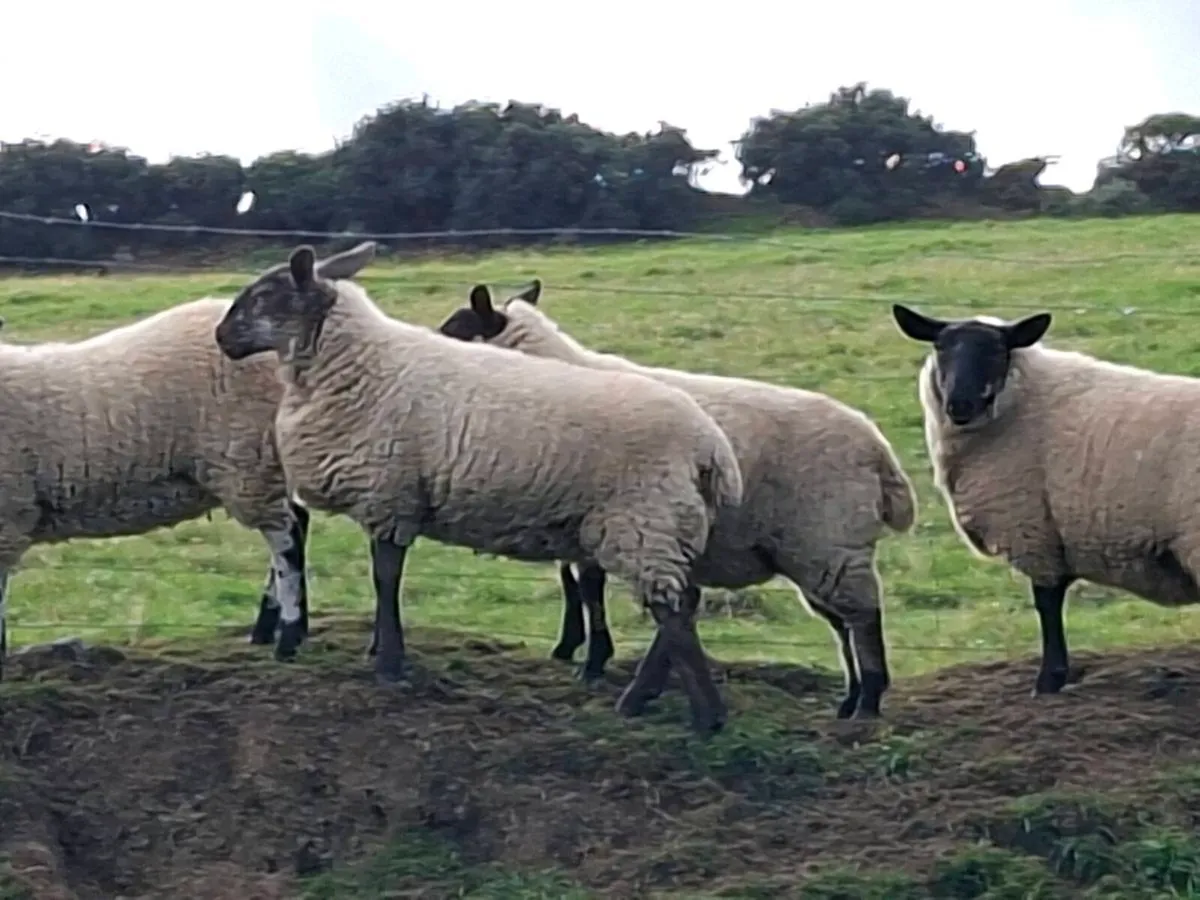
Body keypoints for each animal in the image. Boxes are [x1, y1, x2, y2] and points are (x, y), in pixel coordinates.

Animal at [0, 242, 376, 680]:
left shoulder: (8, 517)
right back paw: (266, 631)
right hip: (263, 463)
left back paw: (288, 636)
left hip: (246, 460)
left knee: (288, 534)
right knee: (293, 523)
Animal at [213, 244, 745, 734]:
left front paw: (389, 664)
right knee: (683, 604)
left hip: (643, 524)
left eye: (264, 295)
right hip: (661, 527)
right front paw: (381, 651)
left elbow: (385, 578)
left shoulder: (390, 494)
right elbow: (385, 579)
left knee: (673, 612)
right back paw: (647, 700)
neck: (361, 365)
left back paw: (701, 716)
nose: (221, 336)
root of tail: (712, 449)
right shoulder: (386, 498)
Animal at [436, 280, 917, 719]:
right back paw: (850, 701)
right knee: (842, 623)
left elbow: (586, 586)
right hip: (808, 550)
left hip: (828, 540)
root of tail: (879, 451)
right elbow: (573, 582)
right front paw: (573, 649)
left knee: (863, 616)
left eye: (455, 329)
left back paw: (867, 703)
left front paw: (590, 660)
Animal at [892, 302, 1200, 697]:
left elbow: (1047, 605)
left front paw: (1049, 680)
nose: (961, 404)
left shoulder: (1032, 529)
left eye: (997, 351)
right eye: (941, 347)